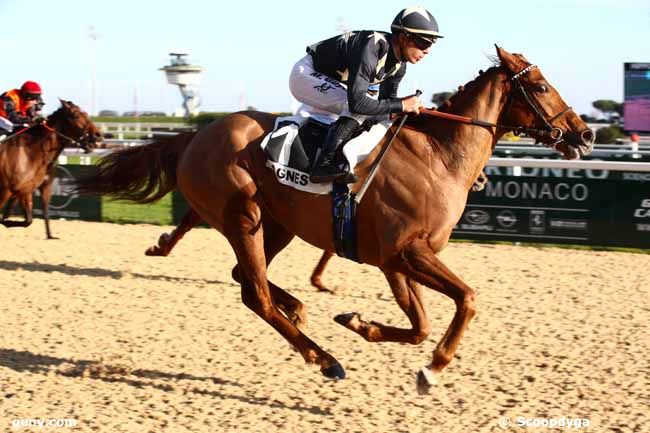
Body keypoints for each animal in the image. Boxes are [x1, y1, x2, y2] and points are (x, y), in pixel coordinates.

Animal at [0, 99, 100, 238]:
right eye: (76, 116)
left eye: (85, 114)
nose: (97, 135)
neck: (30, 152)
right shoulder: (6, 190)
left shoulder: (28, 189)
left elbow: (29, 220)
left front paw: (50, 236)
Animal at [74, 47, 592, 392]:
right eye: (541, 86)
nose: (584, 134)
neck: (437, 156)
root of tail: (194, 136)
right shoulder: (406, 252)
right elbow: (466, 300)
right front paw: (432, 369)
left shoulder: (395, 260)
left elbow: (420, 324)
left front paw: (357, 320)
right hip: (243, 215)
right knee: (255, 293)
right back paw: (322, 357)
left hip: (276, 224)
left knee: (245, 277)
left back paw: (298, 309)